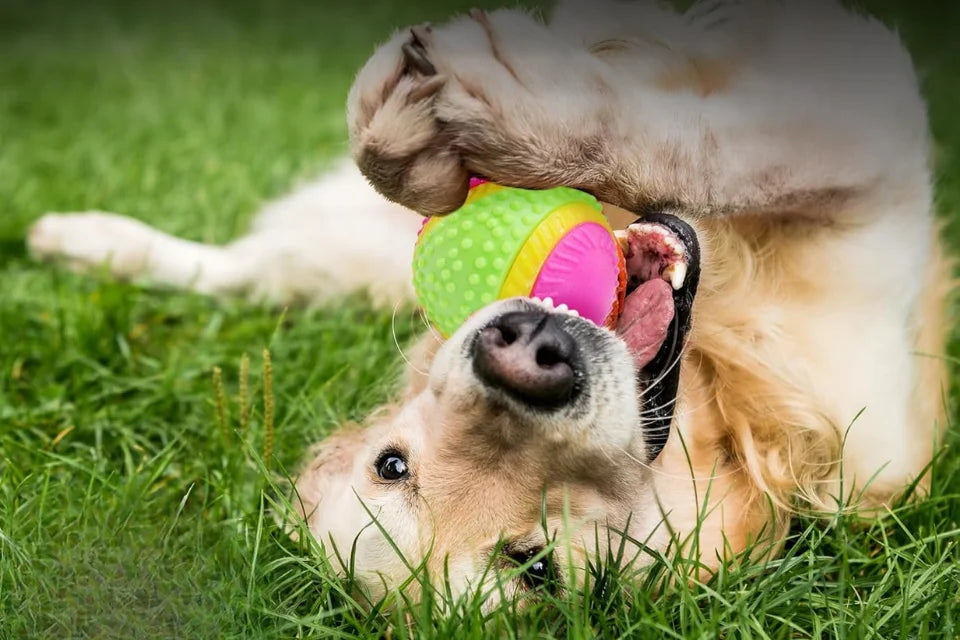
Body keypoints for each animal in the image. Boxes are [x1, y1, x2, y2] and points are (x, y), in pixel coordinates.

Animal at [28, 0, 952, 608]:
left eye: (390, 463)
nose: (525, 354)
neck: (720, 396)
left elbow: (704, 136)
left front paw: (494, 109)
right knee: (254, 268)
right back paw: (86, 241)